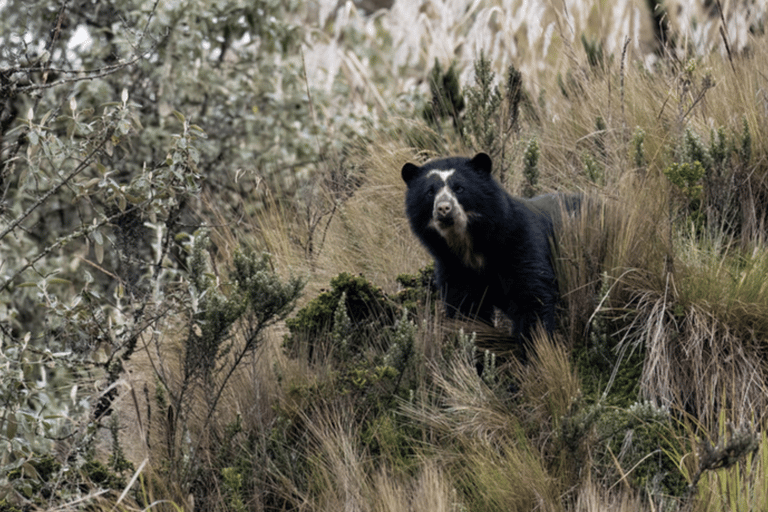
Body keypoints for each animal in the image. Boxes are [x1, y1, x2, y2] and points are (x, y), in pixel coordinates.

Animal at [402, 152, 576, 344]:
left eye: (459, 188)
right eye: (430, 192)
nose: (444, 209)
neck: (470, 244)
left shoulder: (521, 245)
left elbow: (532, 297)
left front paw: (534, 344)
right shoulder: (453, 265)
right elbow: (465, 308)